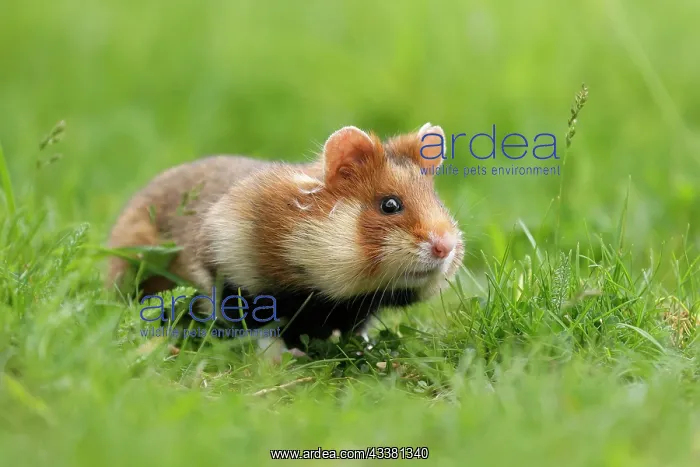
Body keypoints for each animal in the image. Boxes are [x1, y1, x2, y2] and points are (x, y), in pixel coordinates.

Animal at [107, 123, 465, 352]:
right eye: (390, 205)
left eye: (438, 202)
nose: (445, 247)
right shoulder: (233, 278)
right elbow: (259, 329)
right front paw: (285, 358)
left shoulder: (359, 306)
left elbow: (359, 330)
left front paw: (368, 349)